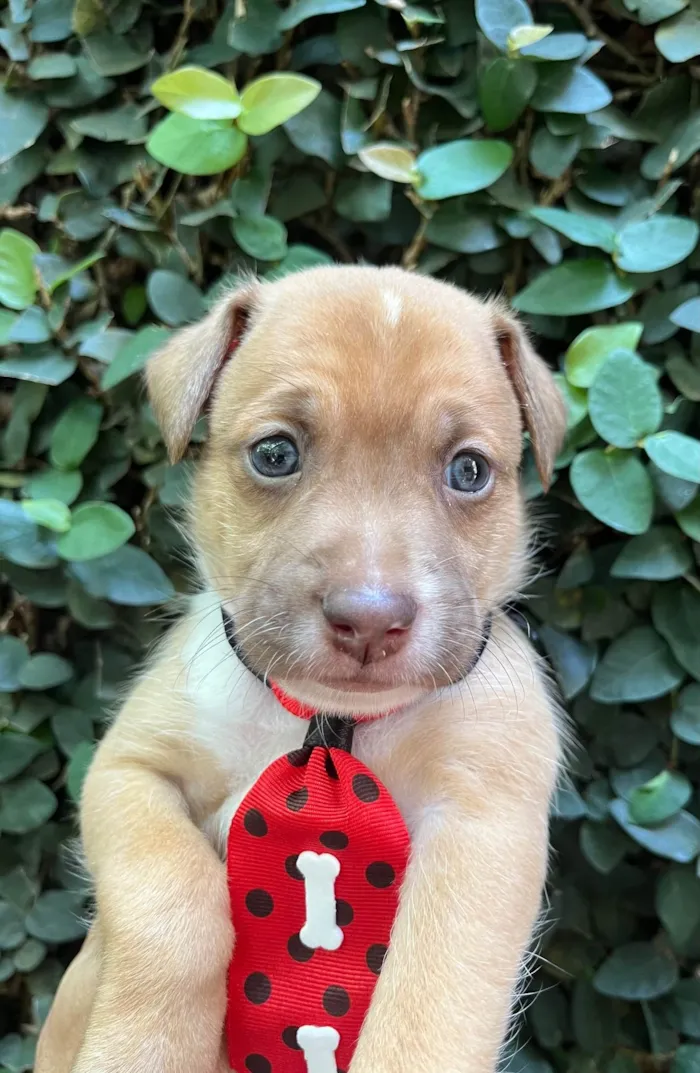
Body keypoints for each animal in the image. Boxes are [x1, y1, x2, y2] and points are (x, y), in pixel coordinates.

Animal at [35, 266, 566, 1073]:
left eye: (470, 470)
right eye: (275, 454)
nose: (370, 620)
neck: (330, 722)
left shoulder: (484, 830)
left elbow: (429, 1005)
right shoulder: (127, 773)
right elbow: (172, 901)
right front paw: (144, 1046)